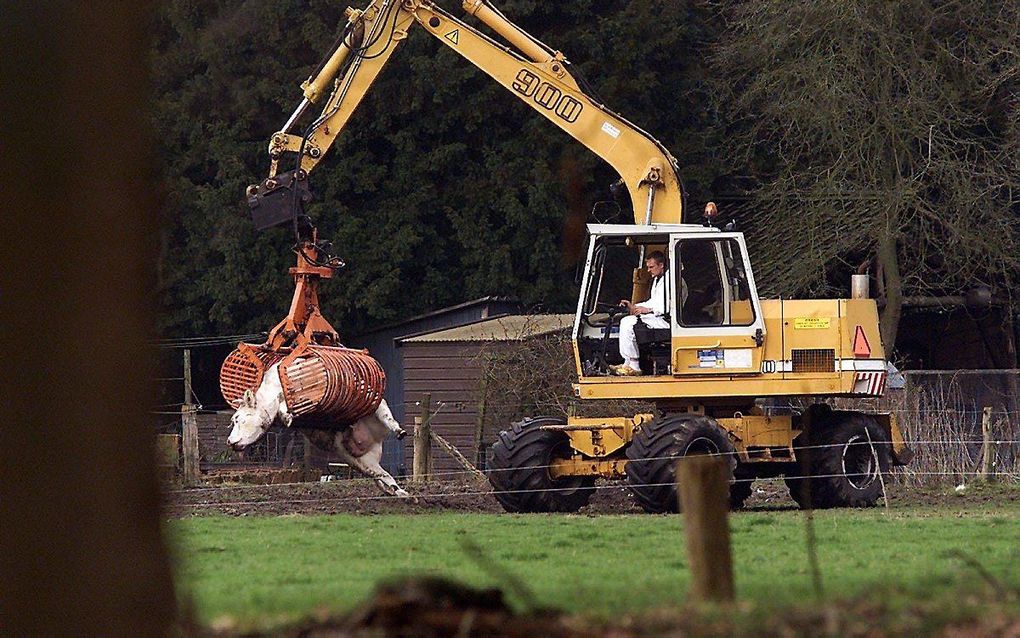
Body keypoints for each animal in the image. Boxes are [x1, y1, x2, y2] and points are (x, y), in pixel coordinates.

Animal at [229, 363, 408, 498]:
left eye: (238, 418)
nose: (230, 442)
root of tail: (374, 439)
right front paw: (287, 416)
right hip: (360, 461)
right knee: (382, 477)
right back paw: (397, 492)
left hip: (376, 404)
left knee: (387, 417)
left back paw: (399, 432)